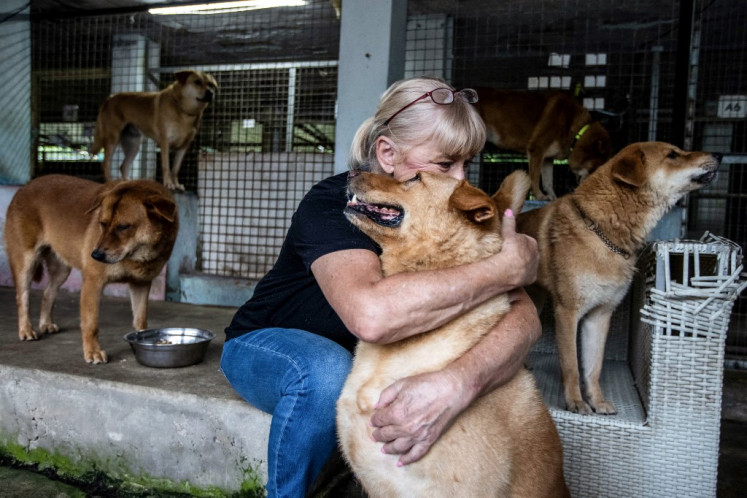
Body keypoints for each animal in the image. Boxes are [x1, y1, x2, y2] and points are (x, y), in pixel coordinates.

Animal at [5, 174, 180, 362]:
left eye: (123, 227)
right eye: (102, 223)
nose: (95, 255)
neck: (137, 255)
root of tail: (26, 186)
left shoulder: (141, 284)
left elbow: (140, 321)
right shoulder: (92, 282)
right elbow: (91, 324)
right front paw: (93, 352)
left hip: (61, 270)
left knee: (47, 293)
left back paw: (45, 323)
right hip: (26, 262)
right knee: (22, 298)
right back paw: (26, 330)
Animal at [474, 88, 612, 201]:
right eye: (596, 168)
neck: (575, 129)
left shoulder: (547, 159)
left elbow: (548, 182)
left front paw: (553, 197)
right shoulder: (537, 150)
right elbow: (534, 179)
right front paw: (539, 196)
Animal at [516, 142, 720, 414]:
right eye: (673, 154)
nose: (718, 155)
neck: (606, 230)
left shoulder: (600, 315)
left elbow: (593, 368)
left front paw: (596, 401)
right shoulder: (567, 312)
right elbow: (571, 365)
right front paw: (576, 402)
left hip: (535, 303)